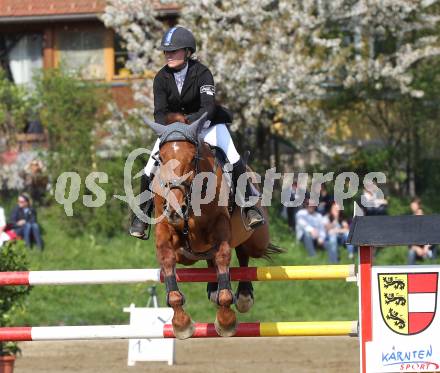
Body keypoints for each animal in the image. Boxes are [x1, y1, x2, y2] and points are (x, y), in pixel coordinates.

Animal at [144, 112, 282, 338]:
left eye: (193, 158)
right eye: (161, 159)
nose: (175, 209)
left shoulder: (220, 227)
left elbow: (223, 257)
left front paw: (226, 320)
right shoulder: (165, 229)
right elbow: (168, 260)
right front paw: (181, 323)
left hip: (256, 240)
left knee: (244, 255)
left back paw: (244, 296)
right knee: (212, 259)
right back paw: (213, 289)